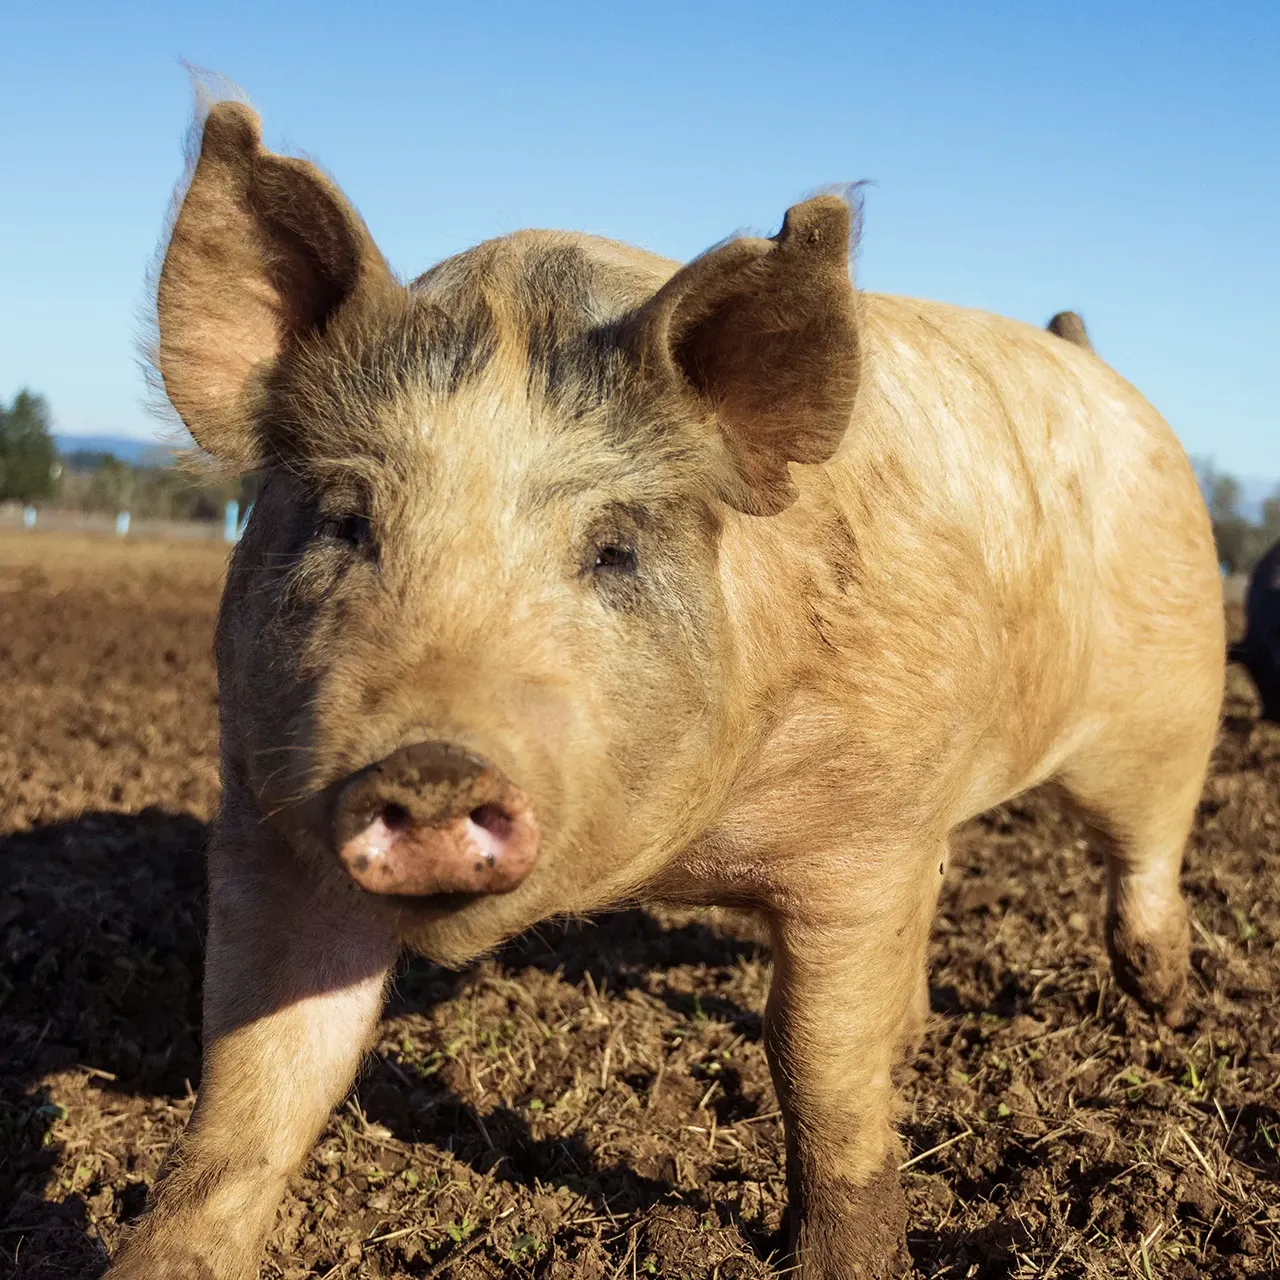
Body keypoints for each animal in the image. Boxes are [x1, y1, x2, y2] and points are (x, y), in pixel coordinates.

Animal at [105, 100, 1225, 1280]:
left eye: (614, 549)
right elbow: (257, 1083)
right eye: (345, 520)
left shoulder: (862, 833)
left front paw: (838, 1259)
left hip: (1169, 697)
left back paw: (1165, 1000)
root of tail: (1088, 355)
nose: (432, 760)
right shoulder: (264, 813)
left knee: (1143, 850)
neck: (666, 865)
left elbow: (816, 1065)